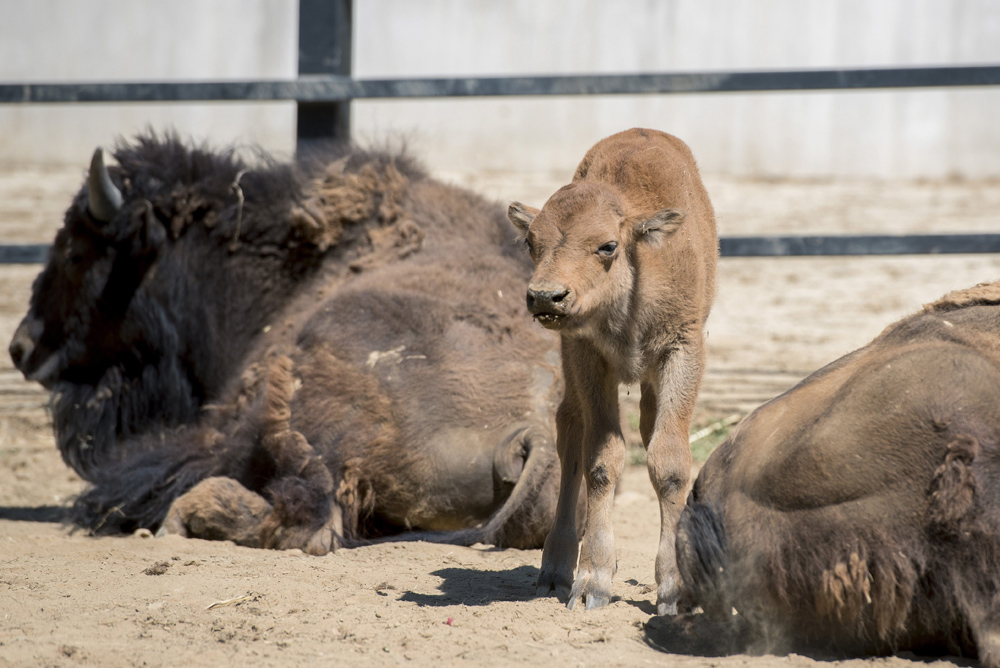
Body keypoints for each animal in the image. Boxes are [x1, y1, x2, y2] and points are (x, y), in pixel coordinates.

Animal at [9, 133, 564, 552]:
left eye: (76, 250)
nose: (20, 347)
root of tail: (532, 431)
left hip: (295, 402)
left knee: (307, 522)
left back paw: (184, 517)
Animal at [508, 128, 720, 612]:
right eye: (531, 242)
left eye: (607, 245)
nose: (546, 297)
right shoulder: (588, 357)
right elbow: (601, 460)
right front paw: (593, 582)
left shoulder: (683, 350)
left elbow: (669, 463)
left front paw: (674, 588)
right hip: (572, 367)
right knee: (570, 433)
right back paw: (554, 570)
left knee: (645, 427)